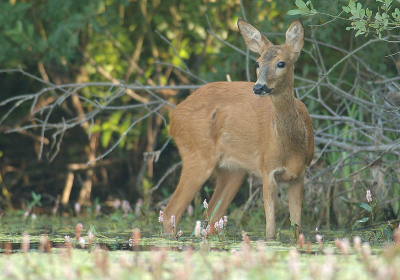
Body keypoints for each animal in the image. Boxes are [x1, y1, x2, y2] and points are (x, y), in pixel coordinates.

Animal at [162, 19, 312, 238]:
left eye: (281, 63)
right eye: (257, 63)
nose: (258, 87)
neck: (290, 147)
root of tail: (173, 116)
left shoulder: (300, 174)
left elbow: (297, 229)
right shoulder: (267, 168)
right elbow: (270, 230)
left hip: (233, 171)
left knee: (212, 216)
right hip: (197, 155)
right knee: (170, 212)